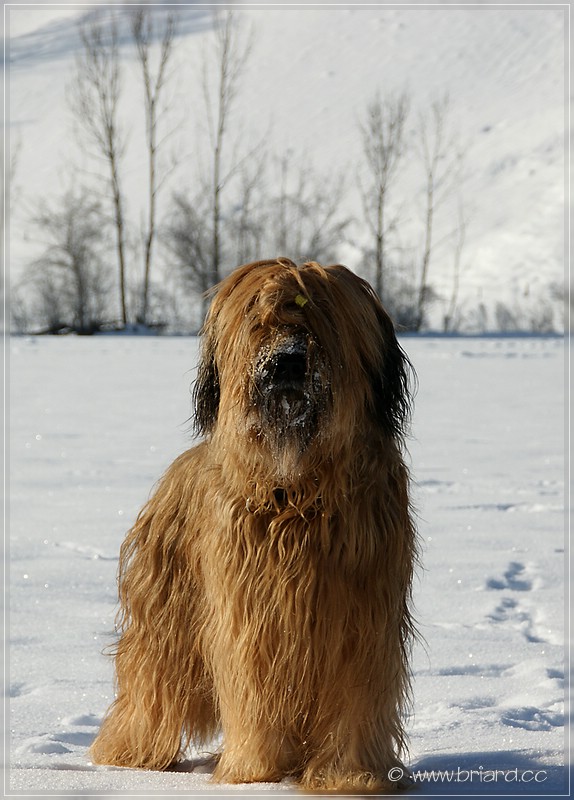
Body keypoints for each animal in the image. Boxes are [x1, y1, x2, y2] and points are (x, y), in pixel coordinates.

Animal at [92, 258, 420, 792]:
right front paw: (256, 774)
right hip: (166, 615)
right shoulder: (252, 617)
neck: (297, 492)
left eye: (319, 319)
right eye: (259, 322)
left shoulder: (362, 621)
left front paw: (350, 776)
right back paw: (129, 752)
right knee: (152, 682)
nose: (286, 362)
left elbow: (354, 698)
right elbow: (255, 689)